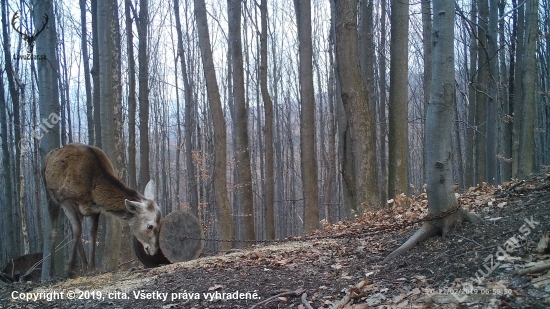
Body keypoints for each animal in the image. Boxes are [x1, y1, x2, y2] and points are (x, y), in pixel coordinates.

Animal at [44, 142, 161, 276]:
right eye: (150, 226)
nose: (155, 251)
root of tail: (48, 156)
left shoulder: (95, 210)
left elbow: (92, 234)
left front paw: (91, 269)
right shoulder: (66, 198)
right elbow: (78, 230)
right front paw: (70, 269)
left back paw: (84, 267)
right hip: (50, 195)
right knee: (53, 231)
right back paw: (52, 272)